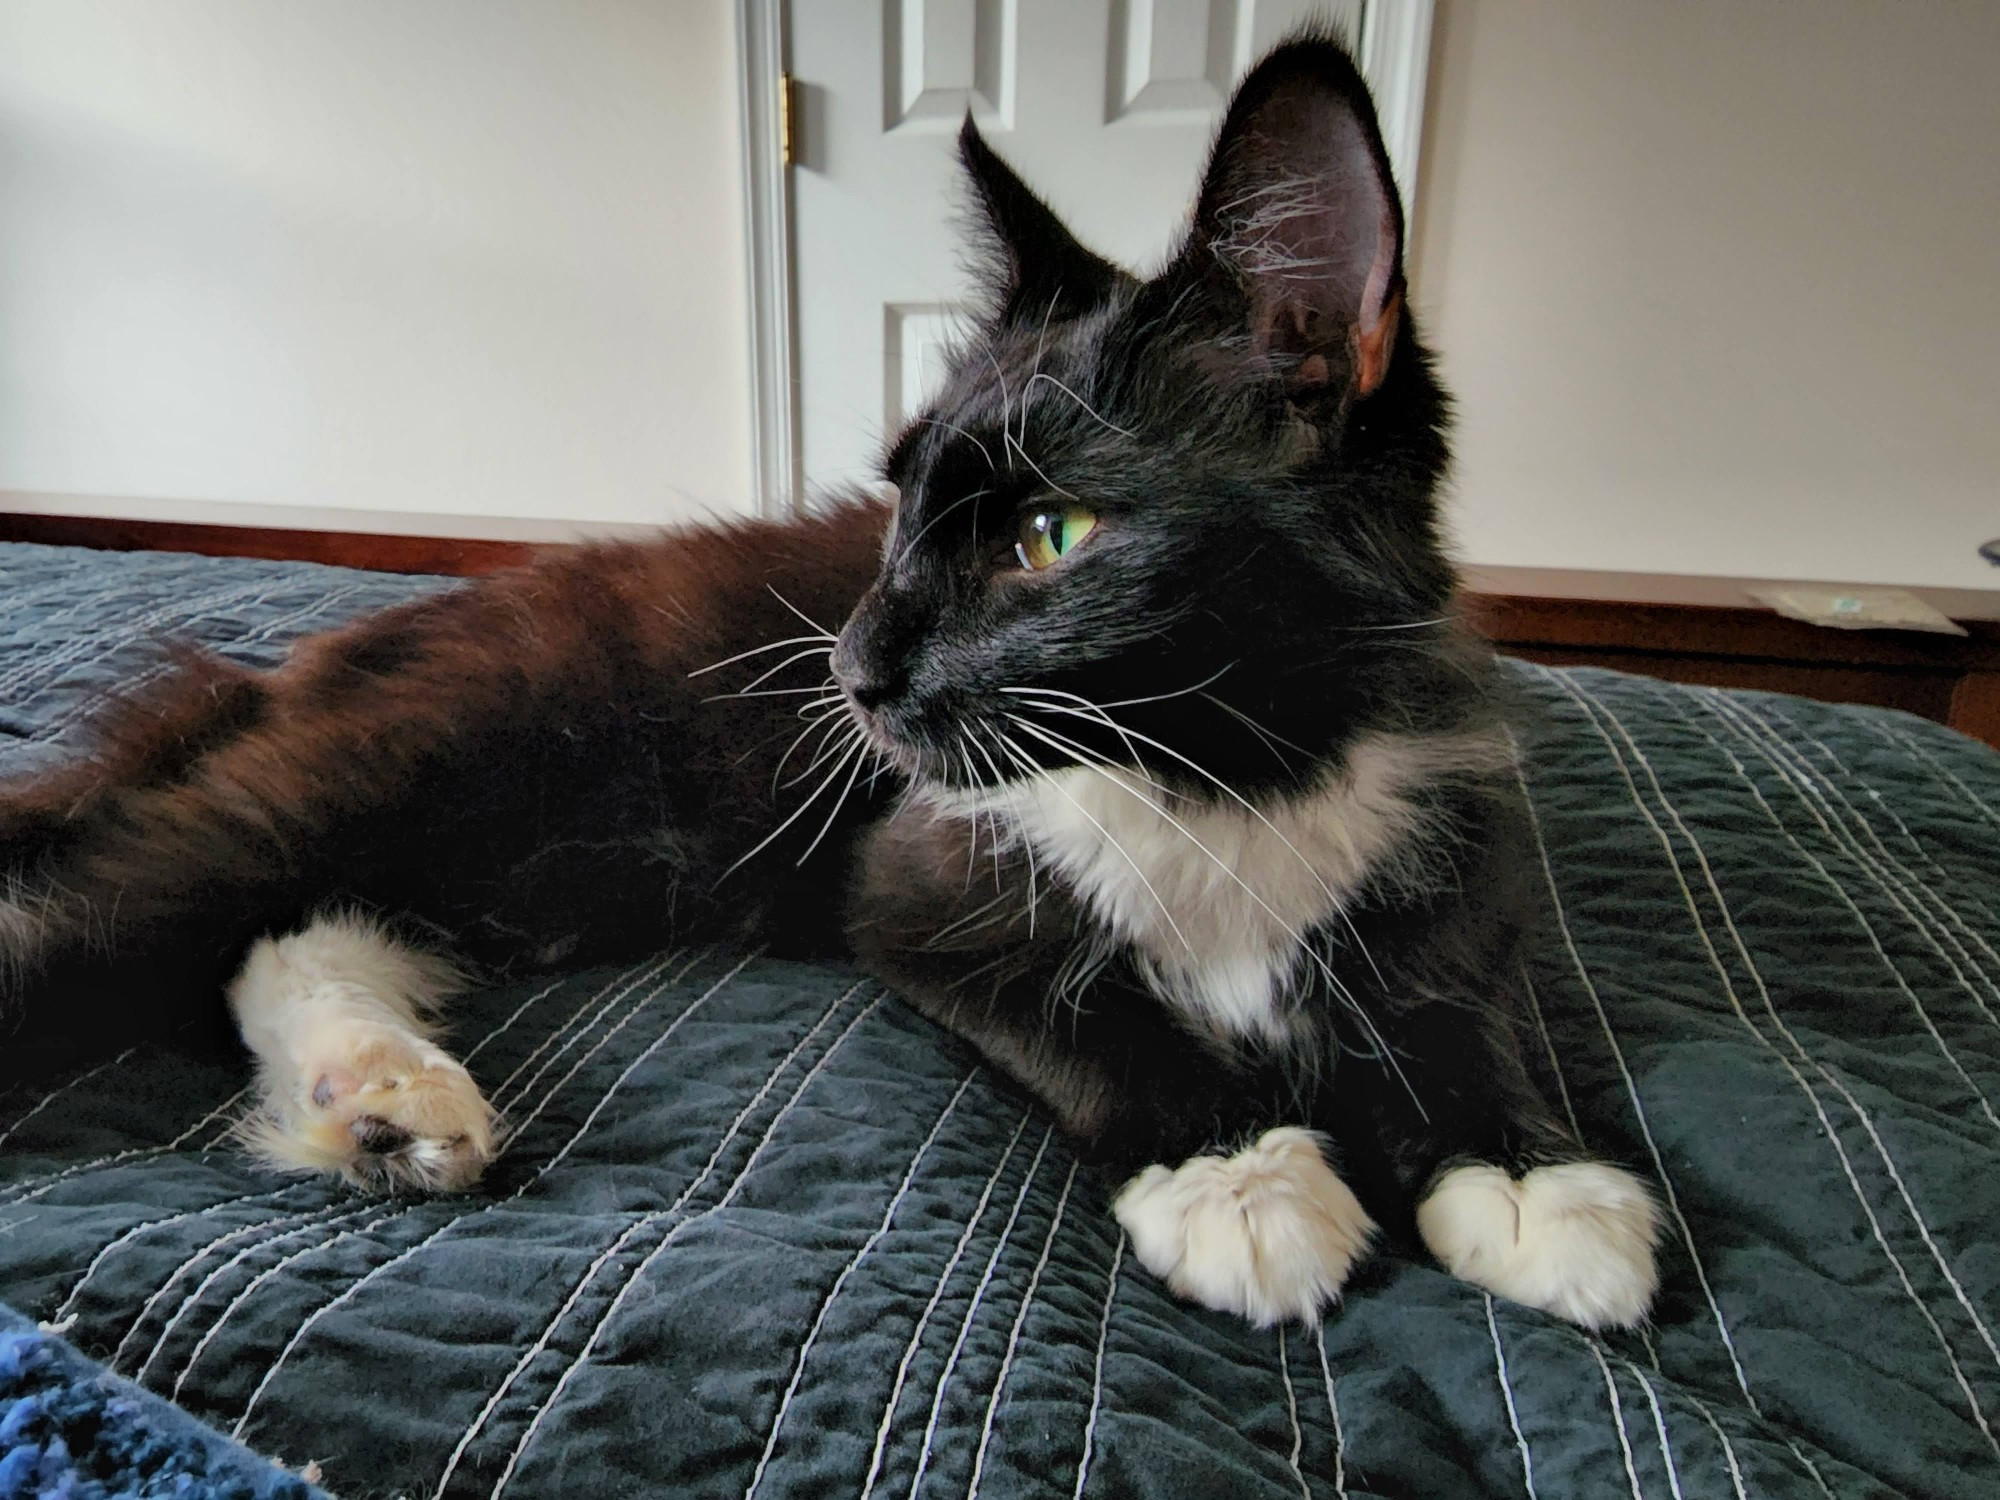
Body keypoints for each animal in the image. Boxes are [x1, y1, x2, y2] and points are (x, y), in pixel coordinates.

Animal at [0, 35, 1656, 1336]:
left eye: (1055, 538)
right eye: (901, 506)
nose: (853, 672)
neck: (1213, 773)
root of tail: (317, 658)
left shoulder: (1446, 828)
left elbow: (1461, 1007)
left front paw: (1532, 1175)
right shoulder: (917, 880)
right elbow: (1094, 1016)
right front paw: (1239, 1174)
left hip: (545, 858)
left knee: (292, 932)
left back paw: (383, 1103)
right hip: (419, 771)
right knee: (152, 911)